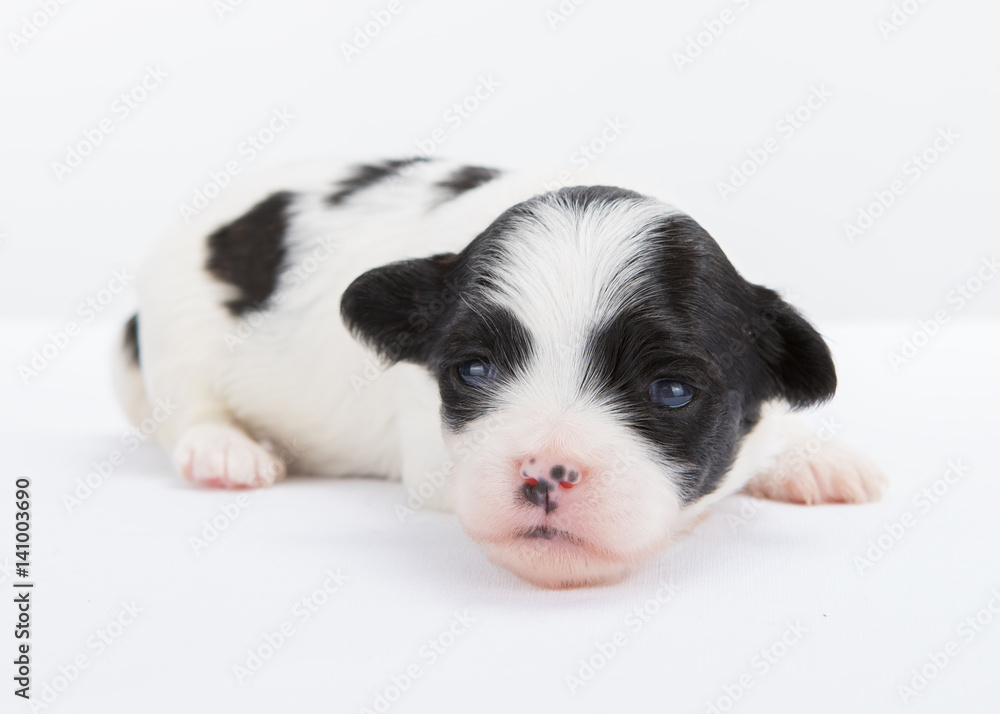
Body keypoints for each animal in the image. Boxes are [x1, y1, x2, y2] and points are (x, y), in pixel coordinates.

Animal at [117, 159, 884, 588]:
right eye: (474, 371)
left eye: (671, 391)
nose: (545, 471)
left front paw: (814, 457)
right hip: (178, 325)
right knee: (187, 404)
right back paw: (225, 450)